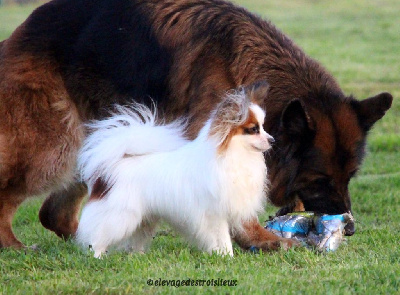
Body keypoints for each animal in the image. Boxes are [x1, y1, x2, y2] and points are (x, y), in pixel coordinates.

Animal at [76, 82, 274, 258]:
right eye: (253, 129)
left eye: (263, 127)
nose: (272, 140)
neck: (233, 154)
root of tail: (112, 165)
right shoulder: (215, 213)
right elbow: (223, 238)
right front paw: (227, 257)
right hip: (120, 216)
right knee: (97, 236)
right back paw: (98, 256)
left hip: (145, 218)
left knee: (136, 240)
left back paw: (138, 256)